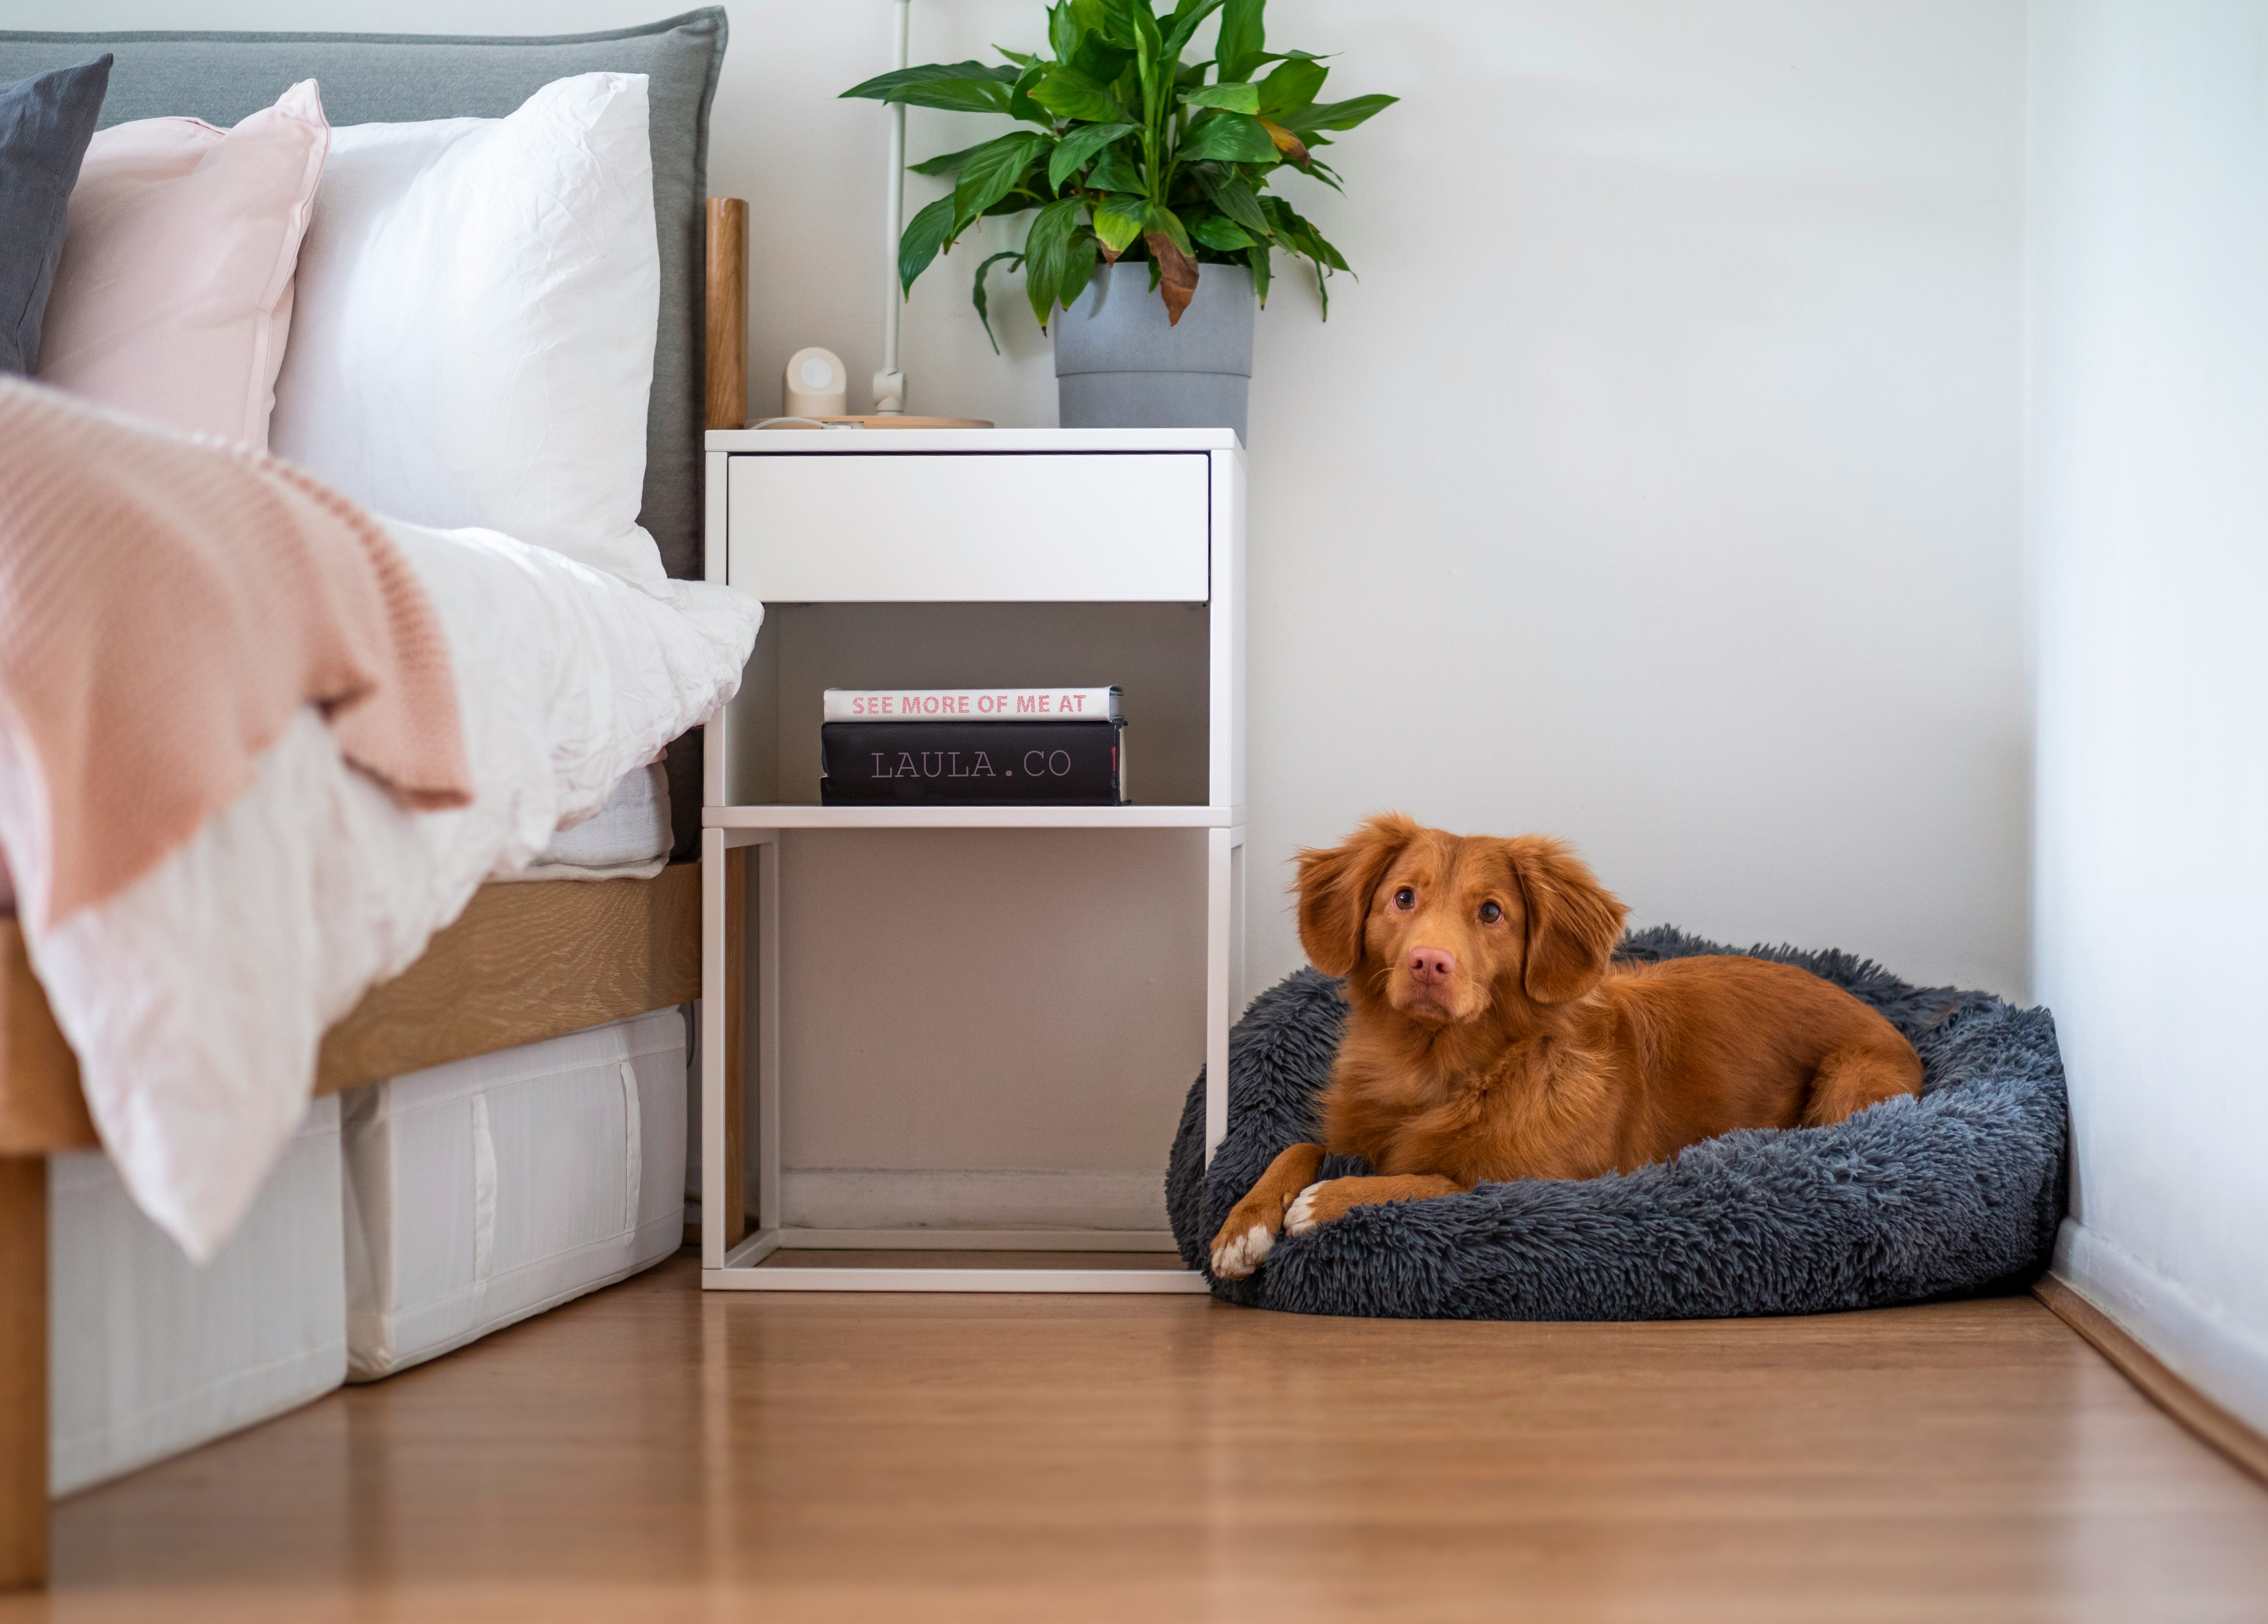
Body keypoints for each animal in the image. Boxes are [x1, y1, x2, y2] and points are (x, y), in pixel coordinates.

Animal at [1215, 816, 1923, 1279]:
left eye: (1491, 912)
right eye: (1403, 897)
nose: (1428, 963)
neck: (1436, 1067)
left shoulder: (1536, 1184)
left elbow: (1436, 1179)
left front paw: (1325, 1201)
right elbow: (1297, 1146)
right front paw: (1242, 1226)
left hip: (1846, 1081)